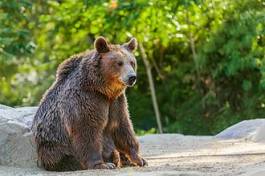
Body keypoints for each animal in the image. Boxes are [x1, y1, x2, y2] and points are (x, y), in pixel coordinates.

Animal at [31, 36, 146, 170]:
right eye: (119, 63)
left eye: (132, 62)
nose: (132, 77)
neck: (102, 89)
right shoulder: (86, 99)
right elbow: (87, 130)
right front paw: (101, 164)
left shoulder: (116, 102)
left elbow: (122, 126)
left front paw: (139, 159)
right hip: (55, 147)